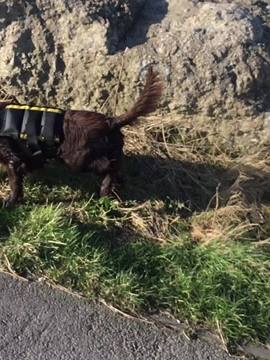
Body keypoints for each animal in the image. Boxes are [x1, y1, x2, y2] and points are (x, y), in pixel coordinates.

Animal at [0, 68, 162, 208]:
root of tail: (111, 121)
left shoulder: (12, 159)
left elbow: (15, 183)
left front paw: (10, 202)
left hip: (78, 160)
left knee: (109, 168)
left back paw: (106, 189)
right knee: (116, 166)